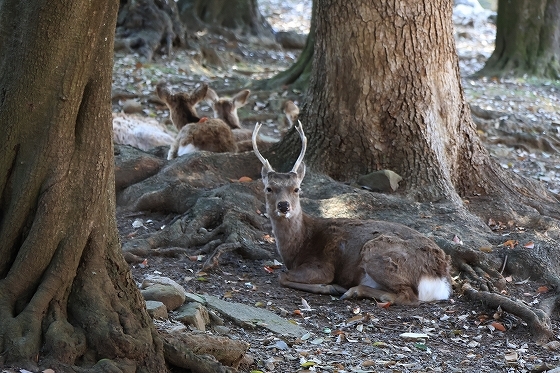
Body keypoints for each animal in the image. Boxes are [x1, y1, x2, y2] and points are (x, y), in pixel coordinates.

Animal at [252, 120, 452, 304]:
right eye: (268, 188)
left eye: (296, 189)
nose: (283, 206)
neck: (299, 246)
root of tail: (440, 278)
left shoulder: (322, 265)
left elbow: (283, 276)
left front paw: (330, 286)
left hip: (377, 251)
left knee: (408, 295)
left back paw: (351, 290)